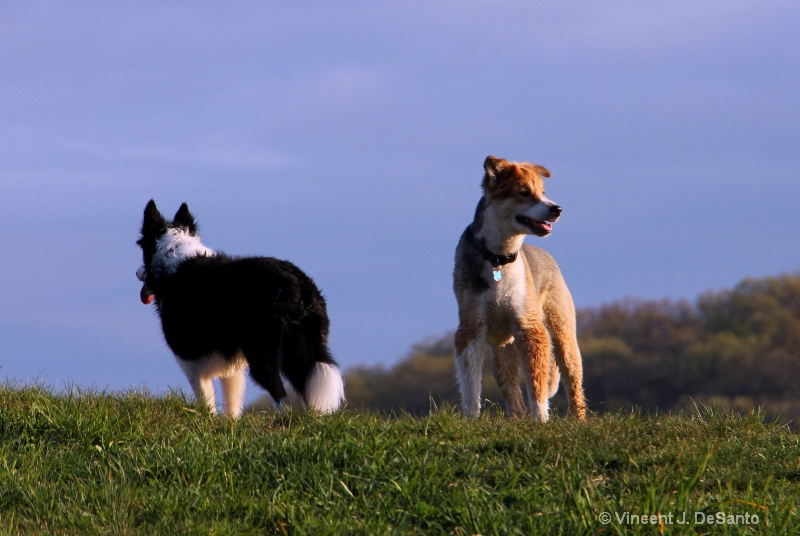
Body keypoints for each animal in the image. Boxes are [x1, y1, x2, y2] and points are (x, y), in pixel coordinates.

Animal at [138, 199, 344, 416]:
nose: (137, 272)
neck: (173, 253)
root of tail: (298, 284)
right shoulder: (232, 368)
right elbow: (232, 406)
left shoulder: (190, 361)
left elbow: (206, 402)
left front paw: (207, 421)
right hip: (302, 349)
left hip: (262, 352)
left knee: (280, 393)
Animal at [454, 157, 584, 420]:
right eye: (524, 192)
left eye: (543, 192)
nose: (557, 209)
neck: (498, 258)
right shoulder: (470, 329)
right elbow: (471, 385)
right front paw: (471, 419)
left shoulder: (530, 328)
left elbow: (537, 385)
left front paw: (541, 420)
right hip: (501, 350)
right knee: (512, 391)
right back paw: (516, 419)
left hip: (563, 334)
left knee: (573, 381)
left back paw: (579, 420)